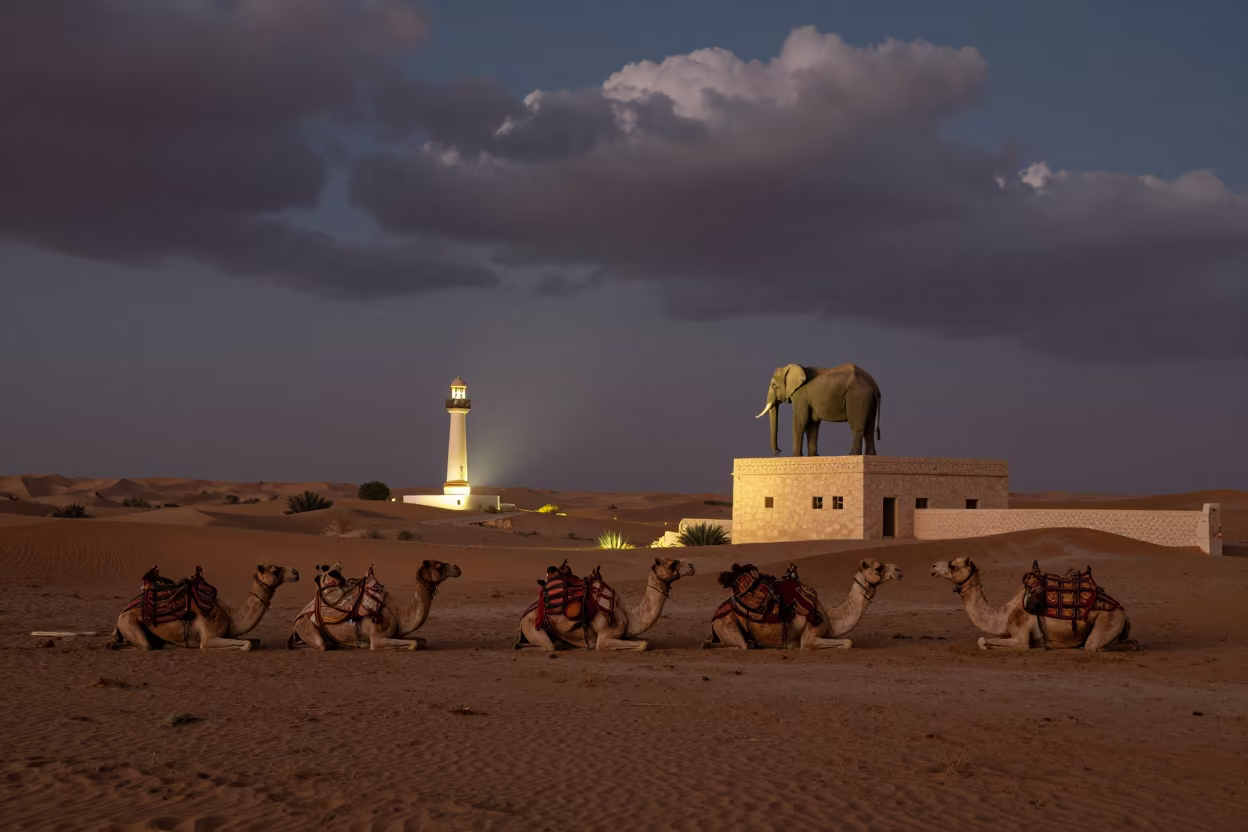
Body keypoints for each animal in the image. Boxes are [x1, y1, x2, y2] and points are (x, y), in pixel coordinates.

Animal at [110, 563, 299, 650]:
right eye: (275, 570)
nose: (296, 572)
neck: (230, 616)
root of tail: (120, 615)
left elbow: (254, 641)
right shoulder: (209, 636)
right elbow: (245, 644)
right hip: (128, 623)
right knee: (143, 645)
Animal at [287, 559, 461, 651]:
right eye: (438, 565)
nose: (457, 567)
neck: (398, 613)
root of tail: (298, 618)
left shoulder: (398, 633)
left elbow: (421, 641)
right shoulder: (378, 637)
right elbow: (414, 644)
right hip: (305, 626)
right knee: (321, 644)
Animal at [514, 556, 695, 652]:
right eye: (672, 564)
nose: (691, 565)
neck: (628, 614)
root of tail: (524, 615)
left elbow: (645, 640)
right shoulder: (605, 637)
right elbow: (644, 644)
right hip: (532, 626)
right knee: (547, 646)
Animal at [703, 558, 902, 650]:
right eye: (878, 567)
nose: (899, 570)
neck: (830, 616)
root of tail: (714, 616)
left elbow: (847, 641)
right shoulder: (809, 637)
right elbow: (848, 642)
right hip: (727, 623)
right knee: (740, 645)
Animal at [930, 556, 1137, 651]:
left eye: (952, 565)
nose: (933, 566)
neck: (1004, 614)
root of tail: (1124, 614)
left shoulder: (1021, 636)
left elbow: (984, 640)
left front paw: (989, 646)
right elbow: (982, 638)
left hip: (1108, 620)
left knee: (1095, 645)